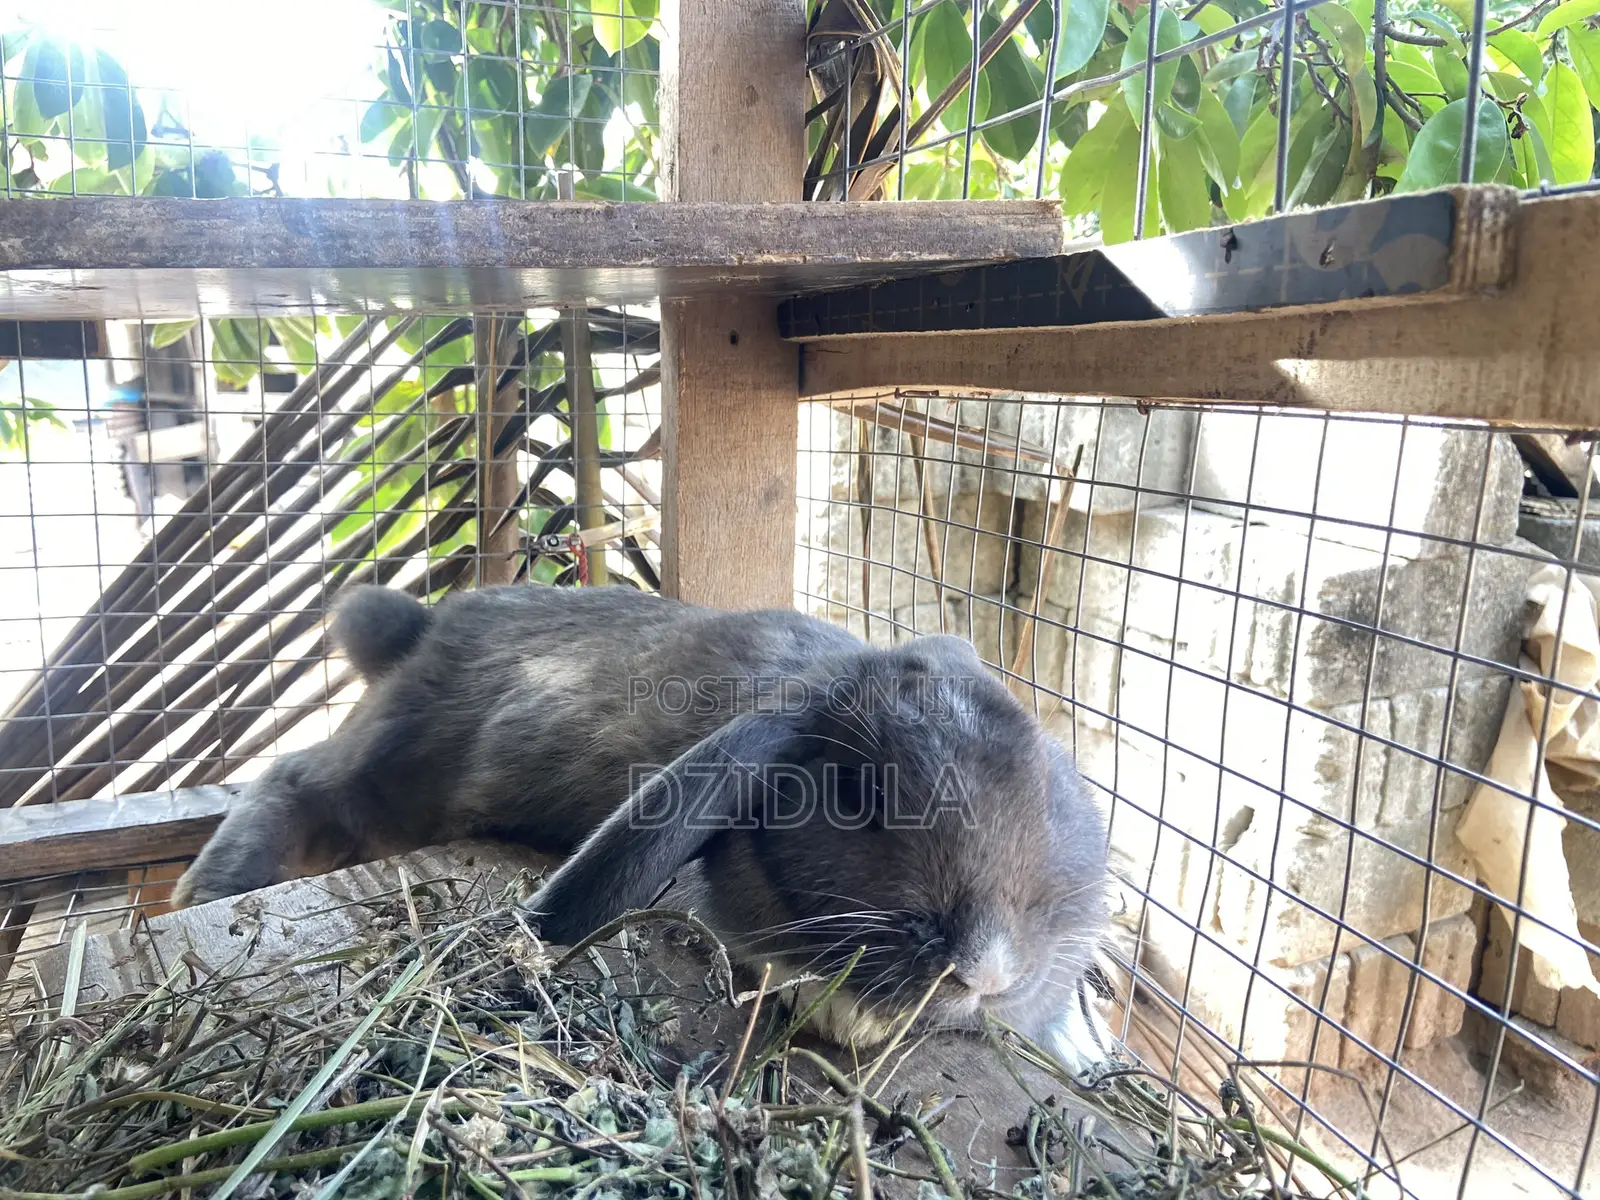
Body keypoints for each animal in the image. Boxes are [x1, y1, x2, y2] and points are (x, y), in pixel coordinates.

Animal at [173, 583, 1114, 1067]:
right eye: (857, 799)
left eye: (1046, 778)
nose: (987, 969)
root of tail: (425, 624)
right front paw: (850, 1013)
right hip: (389, 762)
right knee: (290, 778)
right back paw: (208, 887)